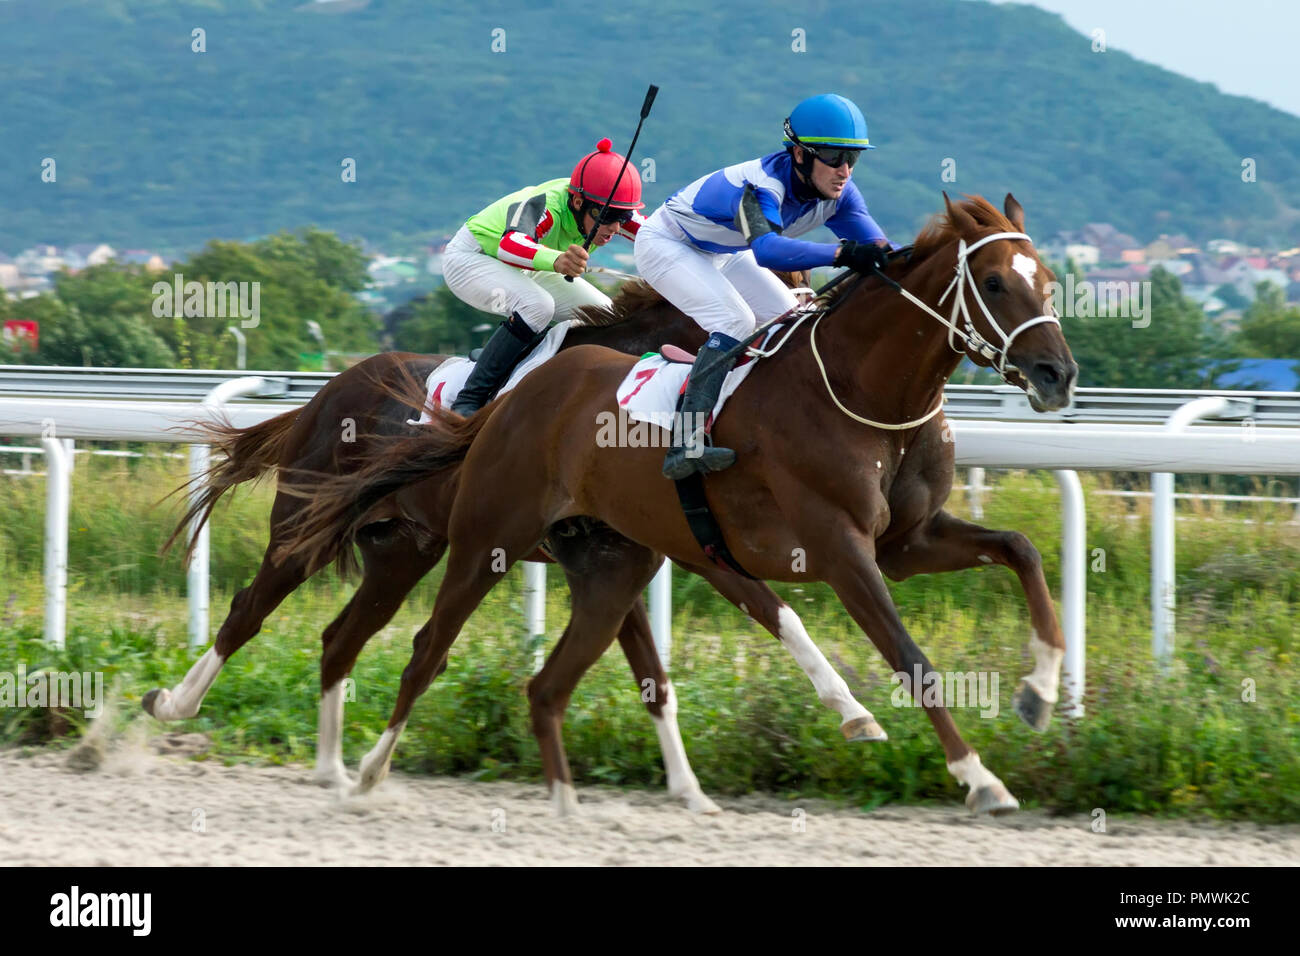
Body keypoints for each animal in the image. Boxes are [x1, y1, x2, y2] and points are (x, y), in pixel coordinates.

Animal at [144, 269, 883, 816]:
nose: (809, 323)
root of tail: (326, 392)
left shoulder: (638, 552)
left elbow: (659, 672)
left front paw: (691, 789)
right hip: (304, 528)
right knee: (248, 612)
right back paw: (177, 703)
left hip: (400, 551)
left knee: (341, 637)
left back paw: (334, 770)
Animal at [289, 195, 1081, 816]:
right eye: (993, 282)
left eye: (1047, 282)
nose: (1058, 373)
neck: (861, 396)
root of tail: (509, 402)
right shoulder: (829, 547)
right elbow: (900, 653)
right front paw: (976, 776)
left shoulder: (906, 543)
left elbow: (1020, 549)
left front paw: (1040, 692)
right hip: (481, 537)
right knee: (421, 648)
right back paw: (361, 775)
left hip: (562, 560)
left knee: (516, 676)